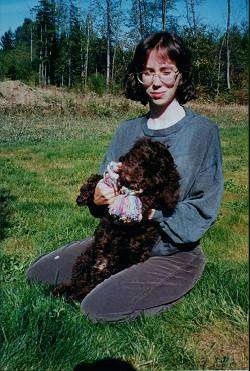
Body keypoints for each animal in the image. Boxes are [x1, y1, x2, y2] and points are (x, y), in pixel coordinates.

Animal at [53, 139, 180, 302]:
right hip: (84, 259)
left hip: (116, 265)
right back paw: (61, 290)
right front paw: (83, 195)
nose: (129, 177)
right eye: (136, 158)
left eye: (153, 174)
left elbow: (142, 201)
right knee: (78, 284)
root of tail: (102, 265)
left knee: (87, 289)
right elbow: (98, 178)